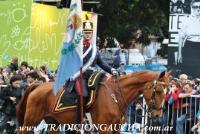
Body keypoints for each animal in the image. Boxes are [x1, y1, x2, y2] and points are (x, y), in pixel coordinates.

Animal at [16, 70, 169, 133]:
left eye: (167, 91)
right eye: (158, 91)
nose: (158, 114)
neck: (115, 95)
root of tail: (38, 85)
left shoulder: (116, 129)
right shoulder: (105, 128)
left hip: (54, 123)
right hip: (30, 121)